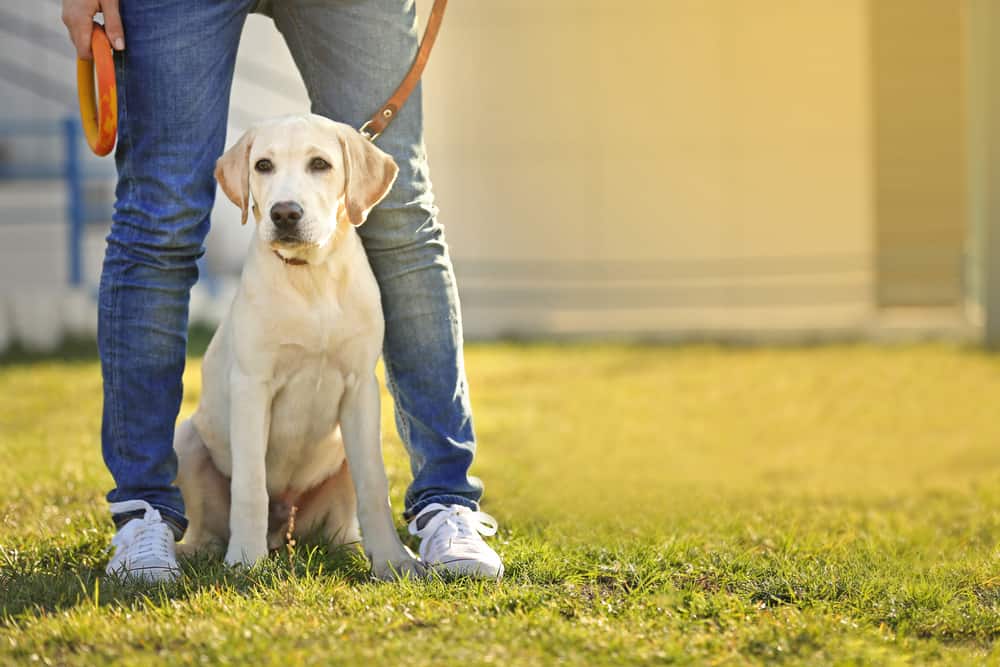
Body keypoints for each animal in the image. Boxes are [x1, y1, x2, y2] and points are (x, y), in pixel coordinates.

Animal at [172, 113, 422, 580]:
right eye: (263, 166)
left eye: (320, 164)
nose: (284, 213)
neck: (312, 277)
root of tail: (283, 531)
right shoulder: (252, 387)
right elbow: (250, 485)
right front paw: (244, 561)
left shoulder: (361, 389)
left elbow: (375, 485)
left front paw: (393, 560)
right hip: (187, 440)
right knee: (207, 527)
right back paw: (196, 552)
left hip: (341, 458)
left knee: (341, 525)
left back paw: (352, 547)